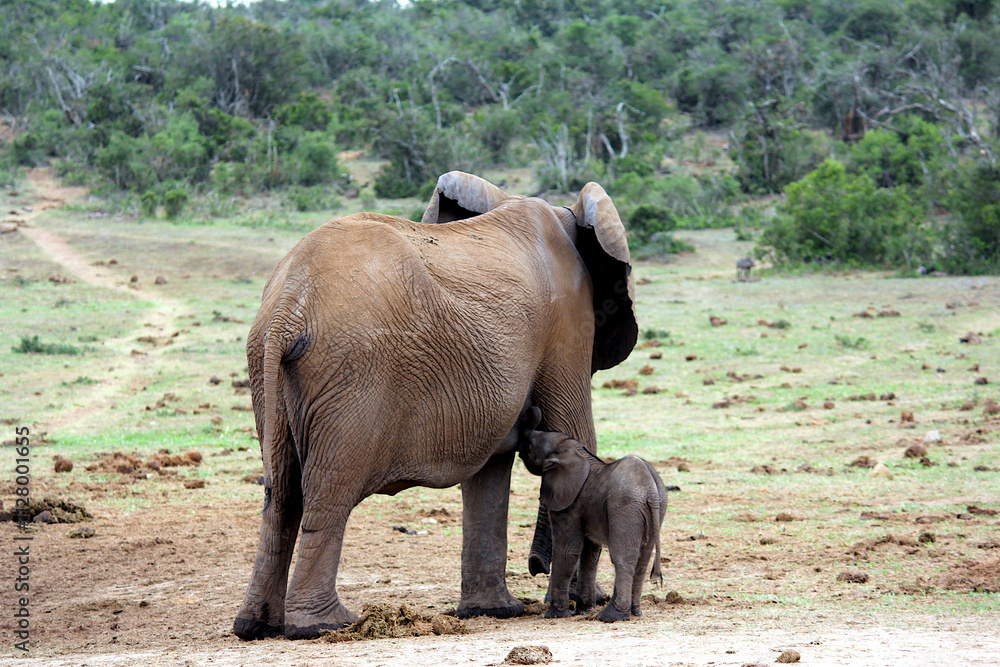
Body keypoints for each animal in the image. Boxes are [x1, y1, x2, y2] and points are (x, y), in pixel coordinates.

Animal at [232, 171, 637, 640]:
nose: (537, 566)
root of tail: (287, 309)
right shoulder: (568, 320)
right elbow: (574, 434)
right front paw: (581, 601)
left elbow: (491, 468)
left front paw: (494, 612)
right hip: (351, 377)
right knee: (327, 488)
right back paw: (326, 626)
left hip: (269, 374)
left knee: (280, 492)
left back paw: (255, 626)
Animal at [518, 416, 668, 622]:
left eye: (531, 445)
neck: (575, 451)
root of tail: (651, 492)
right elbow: (590, 553)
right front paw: (582, 611)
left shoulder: (569, 505)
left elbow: (568, 551)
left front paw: (555, 615)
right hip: (656, 511)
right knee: (642, 560)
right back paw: (634, 613)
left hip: (625, 507)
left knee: (623, 558)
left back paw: (611, 616)